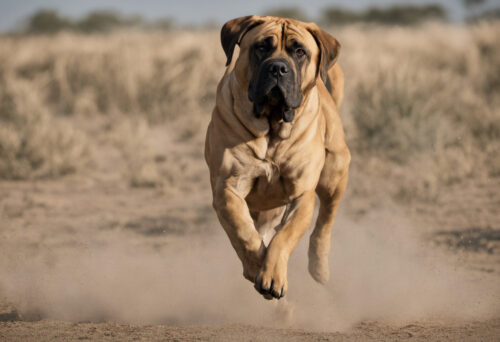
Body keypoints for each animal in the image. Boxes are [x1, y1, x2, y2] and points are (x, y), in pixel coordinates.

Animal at [205, 15, 350, 300]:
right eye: (261, 47)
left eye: (300, 51)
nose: (278, 68)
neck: (272, 128)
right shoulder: (228, 188)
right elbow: (243, 233)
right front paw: (256, 267)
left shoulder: (301, 194)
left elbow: (285, 236)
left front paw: (272, 275)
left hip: (335, 174)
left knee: (324, 223)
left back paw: (319, 268)